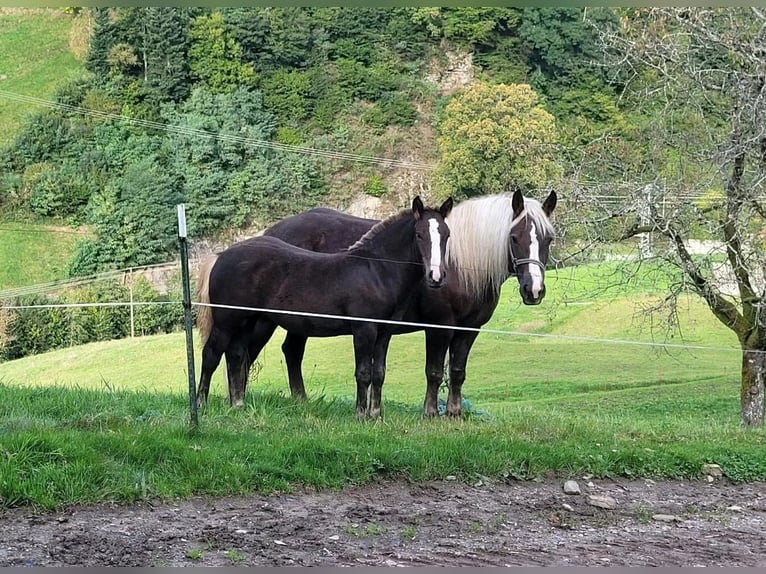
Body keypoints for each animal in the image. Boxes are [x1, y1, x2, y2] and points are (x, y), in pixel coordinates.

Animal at [195, 196, 453, 419]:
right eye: (419, 234)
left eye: (446, 235)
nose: (436, 277)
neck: (376, 270)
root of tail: (222, 256)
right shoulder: (364, 329)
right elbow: (363, 373)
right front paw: (361, 415)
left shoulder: (384, 333)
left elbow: (379, 373)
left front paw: (377, 415)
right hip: (227, 321)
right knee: (211, 355)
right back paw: (201, 404)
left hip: (247, 321)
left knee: (237, 354)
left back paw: (237, 404)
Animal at [254, 188, 557, 417]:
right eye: (514, 237)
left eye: (548, 239)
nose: (534, 290)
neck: (461, 265)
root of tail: (271, 232)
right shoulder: (439, 327)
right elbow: (434, 371)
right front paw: (430, 413)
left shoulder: (469, 329)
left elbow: (457, 371)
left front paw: (455, 413)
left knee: (292, 351)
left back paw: (300, 402)